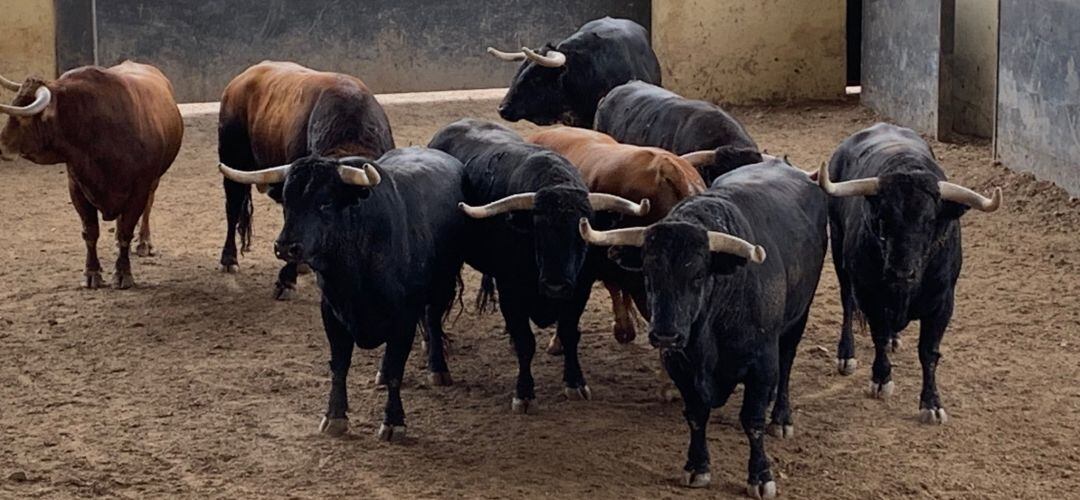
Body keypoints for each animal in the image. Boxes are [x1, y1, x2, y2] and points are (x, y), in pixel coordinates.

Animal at [0, 61, 183, 289]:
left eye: (23, 118)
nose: (1, 146)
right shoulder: (77, 188)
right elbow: (91, 232)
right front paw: (92, 272)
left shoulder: (139, 190)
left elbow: (127, 230)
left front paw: (123, 273)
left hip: (153, 182)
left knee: (147, 208)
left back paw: (143, 243)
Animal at [217, 61, 395, 300]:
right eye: (289, 200)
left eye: (326, 202)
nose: (283, 248)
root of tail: (240, 80)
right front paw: (286, 281)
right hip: (232, 157)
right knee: (233, 207)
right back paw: (229, 260)